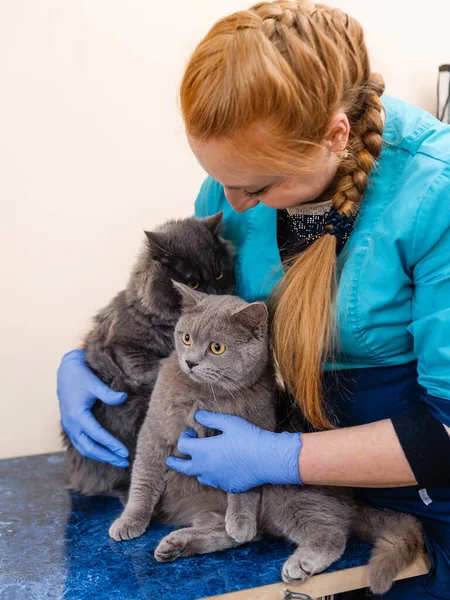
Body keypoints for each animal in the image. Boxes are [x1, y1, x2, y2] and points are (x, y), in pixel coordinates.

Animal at [107, 288, 424, 596]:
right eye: (186, 338)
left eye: (217, 347)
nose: (190, 362)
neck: (207, 396)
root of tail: (352, 500)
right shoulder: (155, 431)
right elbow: (144, 480)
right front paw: (129, 521)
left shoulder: (251, 435)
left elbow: (242, 479)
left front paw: (240, 519)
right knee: (236, 537)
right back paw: (177, 545)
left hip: (287, 495)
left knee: (329, 533)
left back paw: (298, 561)